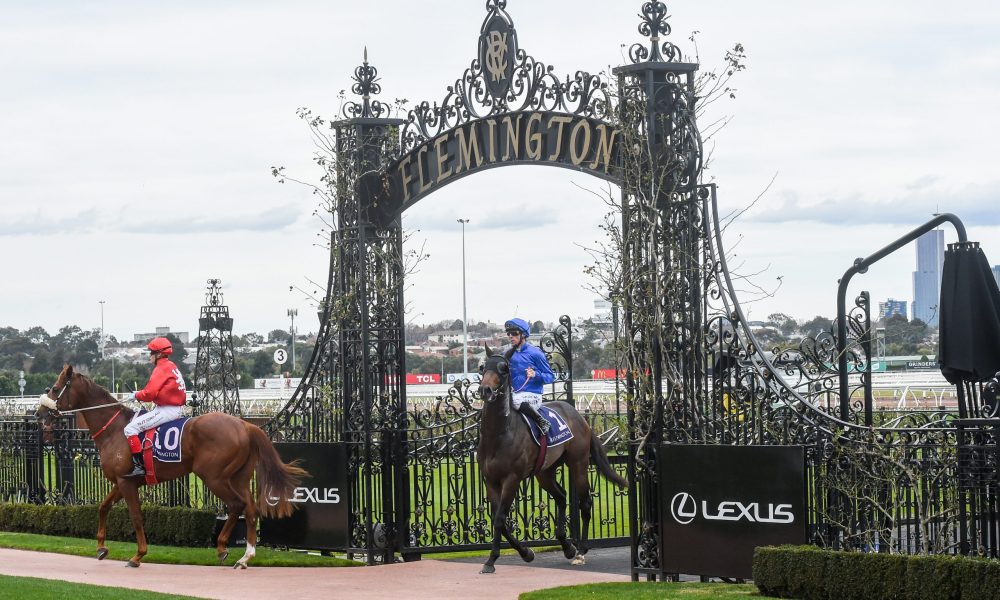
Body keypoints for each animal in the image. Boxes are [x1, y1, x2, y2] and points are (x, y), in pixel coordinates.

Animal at [35, 363, 308, 569]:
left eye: (55, 388)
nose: (39, 414)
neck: (115, 430)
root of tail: (245, 425)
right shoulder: (123, 481)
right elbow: (103, 507)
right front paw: (101, 547)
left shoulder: (126, 482)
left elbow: (136, 517)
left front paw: (138, 555)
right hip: (238, 478)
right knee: (250, 510)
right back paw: (243, 556)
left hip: (214, 477)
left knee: (236, 505)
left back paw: (226, 549)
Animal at [476, 346, 627, 574]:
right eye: (482, 367)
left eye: (504, 369)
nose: (485, 390)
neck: (499, 433)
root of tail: (579, 416)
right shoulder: (490, 480)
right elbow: (497, 519)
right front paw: (525, 553)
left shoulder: (512, 479)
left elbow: (501, 519)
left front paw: (491, 560)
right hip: (544, 472)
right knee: (562, 496)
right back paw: (567, 546)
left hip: (578, 463)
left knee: (585, 503)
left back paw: (580, 551)